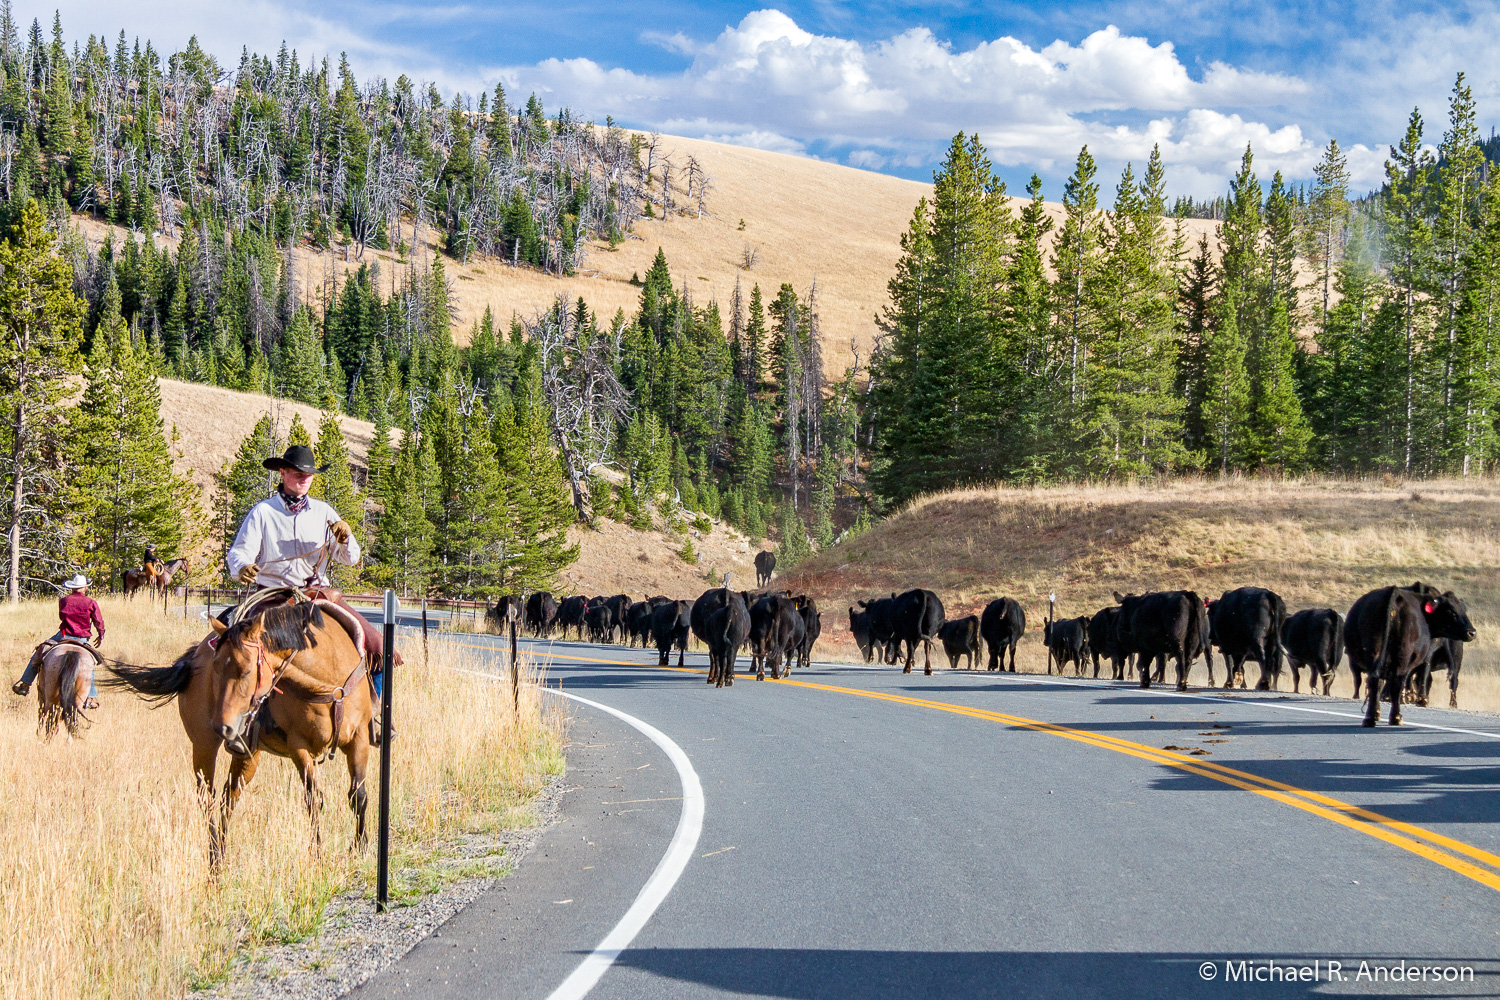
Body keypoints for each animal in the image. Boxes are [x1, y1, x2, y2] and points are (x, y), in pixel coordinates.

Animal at [108, 602, 372, 869]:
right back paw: (214, 857)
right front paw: (317, 854)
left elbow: (357, 795)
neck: (328, 683)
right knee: (208, 798)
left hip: (247, 755)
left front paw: (360, 848)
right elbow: (314, 799)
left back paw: (222, 852)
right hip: (203, 746)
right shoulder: (299, 746)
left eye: (246, 672)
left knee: (229, 797)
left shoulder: (359, 738)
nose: (222, 727)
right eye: (214, 670)